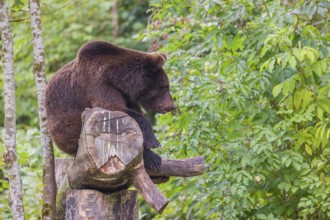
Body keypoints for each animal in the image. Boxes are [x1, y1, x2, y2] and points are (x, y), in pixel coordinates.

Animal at [45, 41, 178, 171]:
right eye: (165, 87)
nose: (172, 106)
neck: (116, 79)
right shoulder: (97, 84)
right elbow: (112, 109)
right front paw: (153, 142)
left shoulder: (124, 94)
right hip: (66, 126)